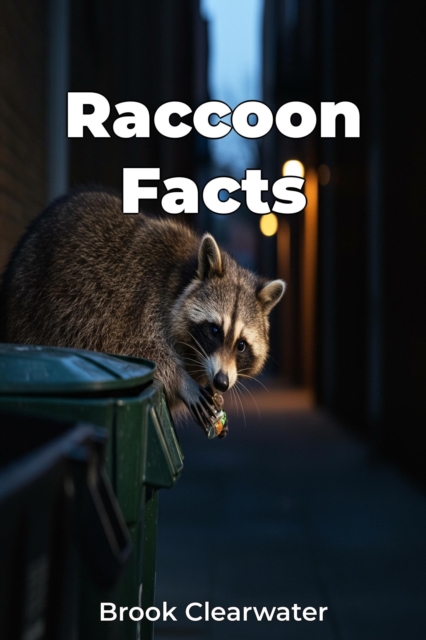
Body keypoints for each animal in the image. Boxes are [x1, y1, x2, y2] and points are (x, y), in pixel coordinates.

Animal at [0, 188, 285, 435]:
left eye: (241, 345)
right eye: (214, 330)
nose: (221, 382)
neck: (184, 277)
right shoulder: (137, 305)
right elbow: (139, 348)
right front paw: (181, 380)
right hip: (35, 308)